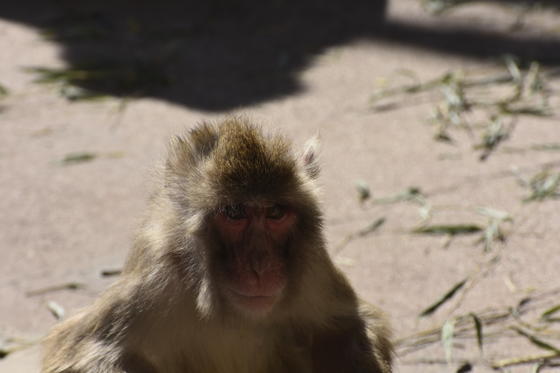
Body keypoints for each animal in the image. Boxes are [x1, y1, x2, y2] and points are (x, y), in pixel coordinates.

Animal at [41, 117, 392, 372]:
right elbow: (89, 350)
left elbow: (347, 327)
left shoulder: (312, 268)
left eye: (275, 213)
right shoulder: (158, 274)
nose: (260, 265)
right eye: (234, 213)